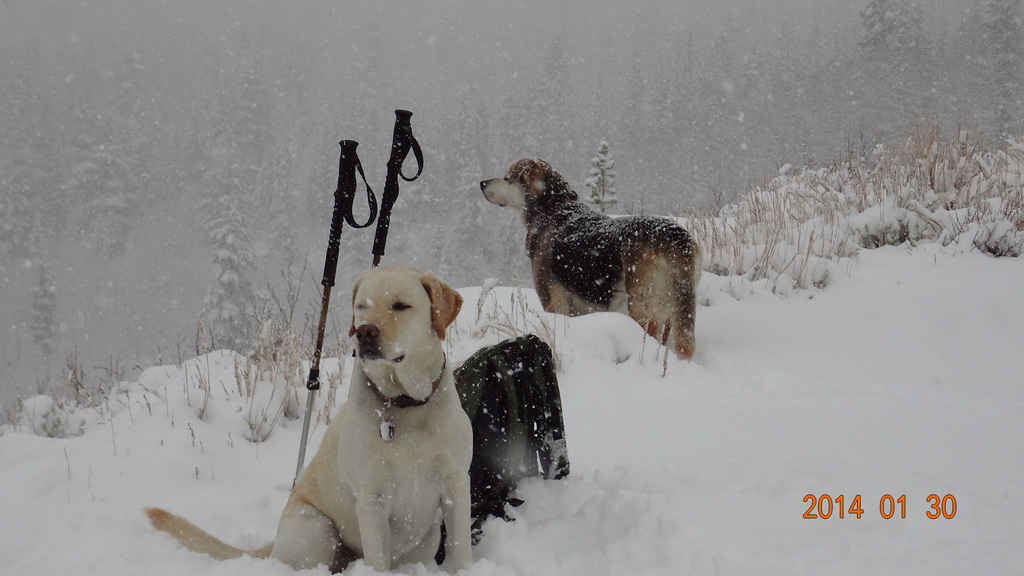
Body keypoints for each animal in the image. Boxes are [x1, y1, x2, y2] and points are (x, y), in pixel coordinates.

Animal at [145, 266, 471, 569]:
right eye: (362, 306)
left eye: (401, 305)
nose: (365, 331)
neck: (405, 403)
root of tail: (274, 542)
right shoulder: (371, 498)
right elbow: (377, 559)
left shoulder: (456, 484)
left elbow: (461, 547)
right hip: (317, 528)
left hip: (427, 539)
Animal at [481, 158, 704, 356]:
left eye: (507, 177)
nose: (482, 183)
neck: (552, 206)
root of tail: (675, 236)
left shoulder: (553, 302)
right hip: (672, 308)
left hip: (642, 307)